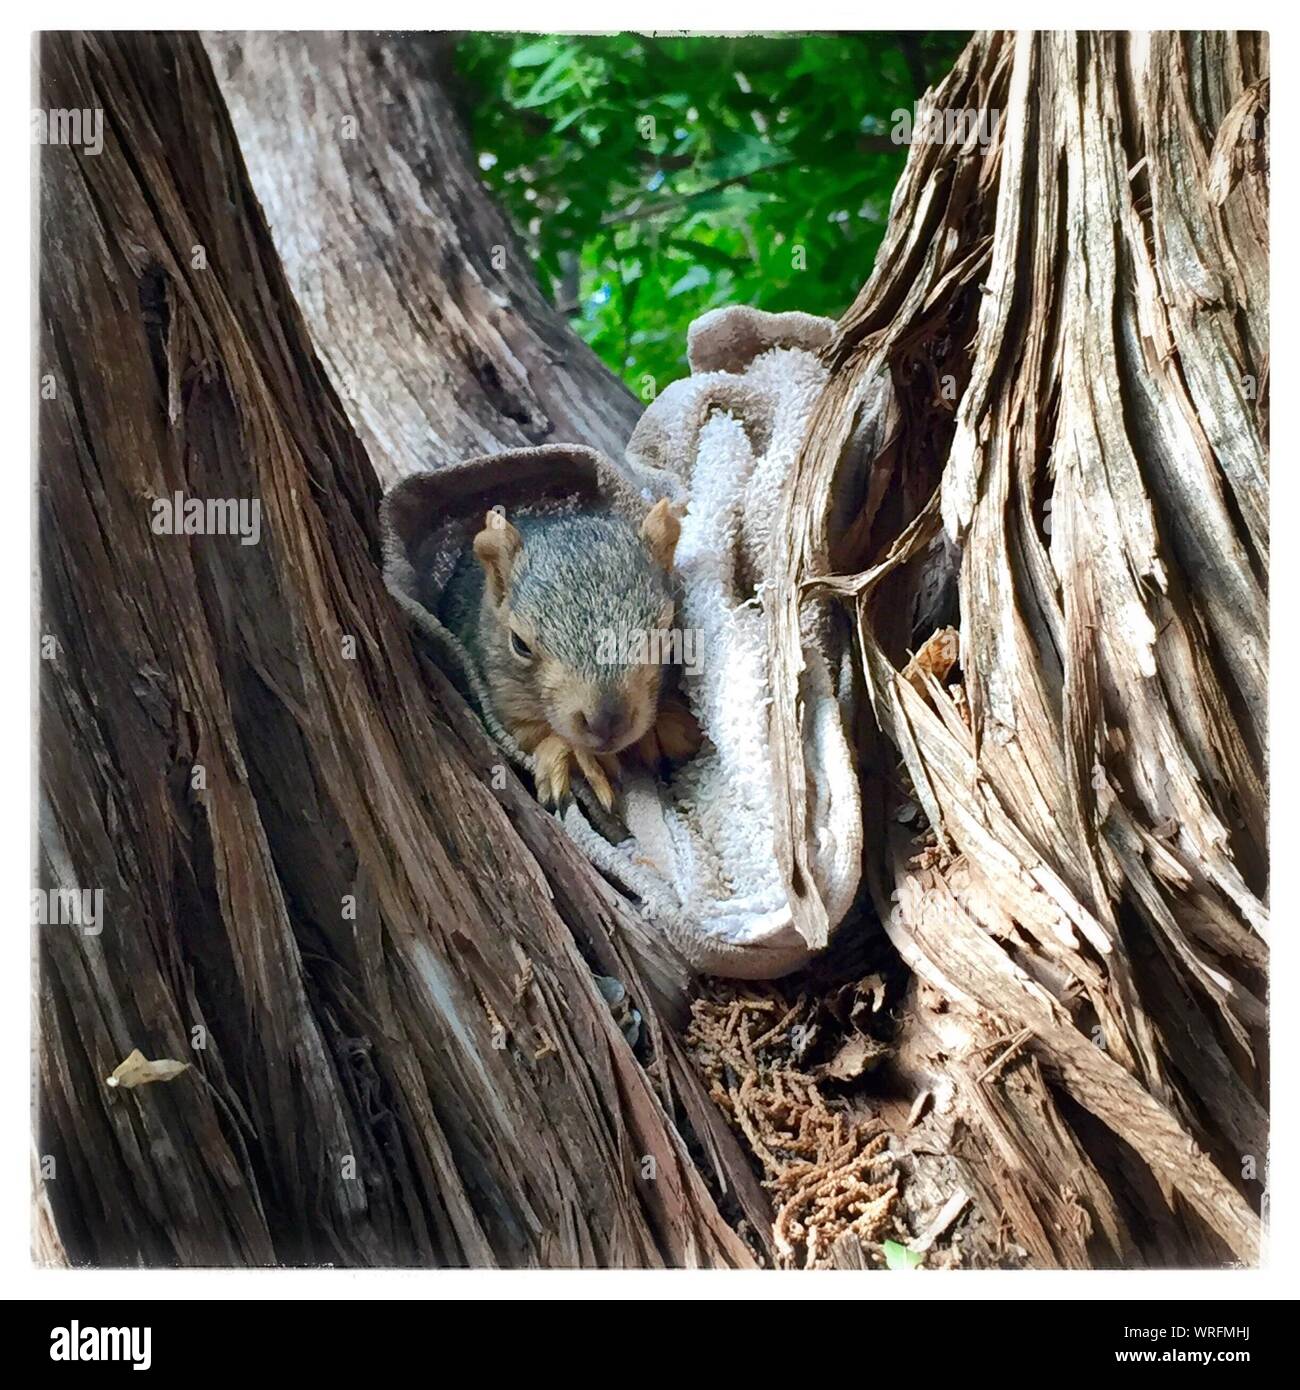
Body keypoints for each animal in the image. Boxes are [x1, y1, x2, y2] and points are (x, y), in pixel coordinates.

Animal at [438, 498, 702, 811]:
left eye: (668, 630)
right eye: (519, 643)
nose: (608, 723)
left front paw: (663, 728)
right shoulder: (494, 696)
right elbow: (525, 733)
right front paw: (572, 755)